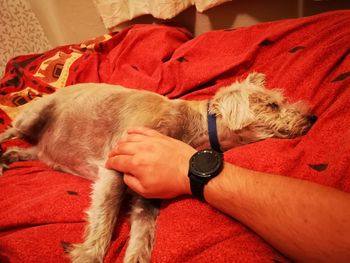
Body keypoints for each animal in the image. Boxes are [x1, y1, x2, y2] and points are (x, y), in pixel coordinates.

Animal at [0, 72, 318, 263]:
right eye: (273, 105)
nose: (313, 117)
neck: (192, 127)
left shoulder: (146, 195)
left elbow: (142, 236)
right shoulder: (116, 163)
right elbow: (105, 217)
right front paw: (88, 253)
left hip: (41, 148)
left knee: (28, 150)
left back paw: (10, 158)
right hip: (32, 116)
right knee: (10, 131)